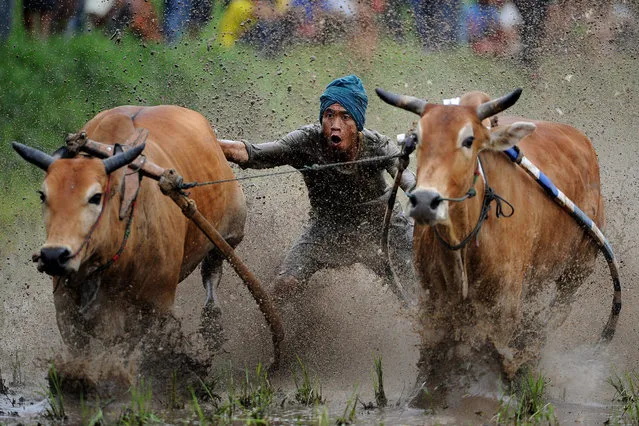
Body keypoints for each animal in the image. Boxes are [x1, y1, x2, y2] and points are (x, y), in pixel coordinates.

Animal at [13, 105, 248, 356]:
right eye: (43, 195)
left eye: (96, 196)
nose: (53, 255)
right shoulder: (67, 317)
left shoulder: (155, 310)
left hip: (230, 234)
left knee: (212, 273)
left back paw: (212, 322)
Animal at [378, 87, 612, 406]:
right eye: (419, 139)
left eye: (468, 140)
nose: (425, 201)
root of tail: (582, 141)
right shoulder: (431, 299)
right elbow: (430, 357)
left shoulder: (506, 303)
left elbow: (502, 357)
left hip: (577, 270)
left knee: (553, 317)